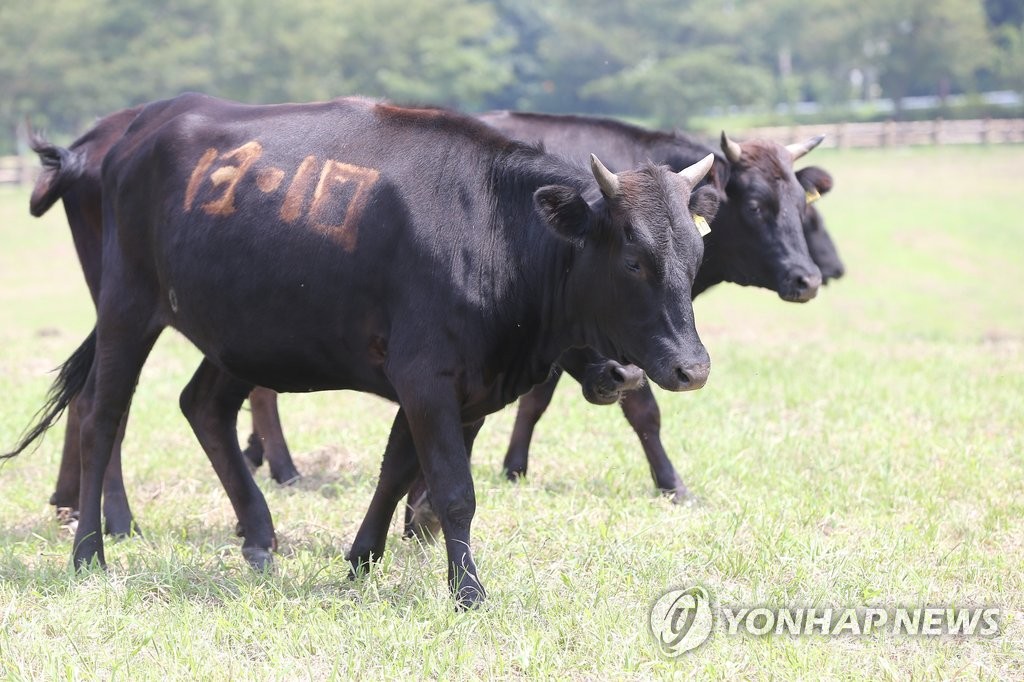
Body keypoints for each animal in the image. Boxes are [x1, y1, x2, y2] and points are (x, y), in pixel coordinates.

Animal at [6, 91, 720, 606]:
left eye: (695, 255)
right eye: (633, 259)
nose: (689, 368)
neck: (494, 227)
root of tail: (134, 132)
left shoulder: (464, 388)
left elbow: (399, 471)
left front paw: (360, 558)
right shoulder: (426, 376)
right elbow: (452, 490)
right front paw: (468, 593)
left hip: (240, 333)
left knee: (202, 405)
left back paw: (259, 537)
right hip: (127, 309)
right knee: (102, 417)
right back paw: (90, 552)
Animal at [395, 110, 835, 532]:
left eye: (802, 207)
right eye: (757, 206)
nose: (808, 280)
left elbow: (536, 401)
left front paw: (514, 468)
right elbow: (643, 409)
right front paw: (672, 484)